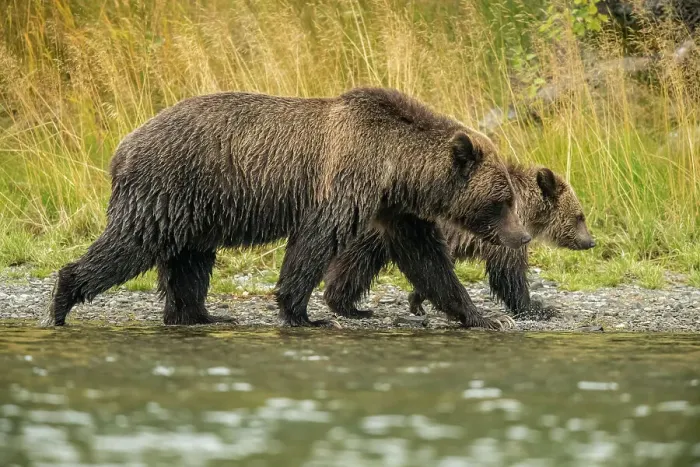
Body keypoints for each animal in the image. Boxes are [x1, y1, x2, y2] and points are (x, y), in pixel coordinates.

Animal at [42, 87, 532, 330]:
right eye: (503, 200)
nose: (522, 235)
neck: (396, 167)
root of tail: (123, 144)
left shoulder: (396, 209)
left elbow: (428, 260)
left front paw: (481, 316)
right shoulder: (345, 180)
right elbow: (315, 243)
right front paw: (303, 313)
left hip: (197, 206)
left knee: (190, 262)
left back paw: (203, 314)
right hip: (168, 187)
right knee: (132, 243)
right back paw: (62, 302)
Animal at [322, 164, 595, 321]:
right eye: (579, 216)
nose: (591, 242)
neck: (530, 211)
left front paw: (417, 300)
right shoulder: (507, 230)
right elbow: (508, 273)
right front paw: (539, 308)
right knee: (358, 261)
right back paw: (345, 304)